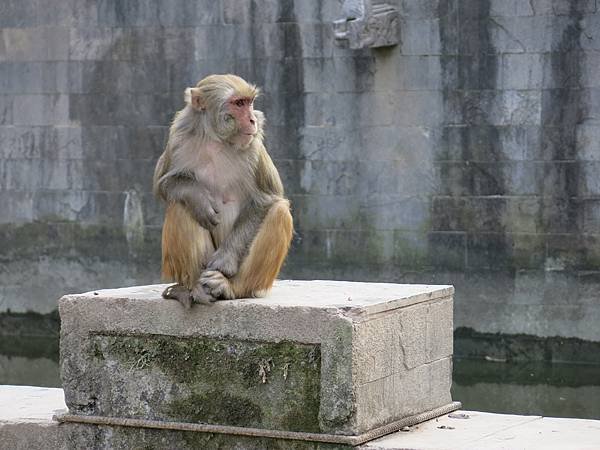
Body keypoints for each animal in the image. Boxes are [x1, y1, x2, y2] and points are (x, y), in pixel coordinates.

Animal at [154, 74, 294, 306]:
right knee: (180, 206)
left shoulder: (254, 147)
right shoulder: (178, 138)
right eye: (238, 103)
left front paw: (225, 261)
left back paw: (229, 287)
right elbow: (164, 184)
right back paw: (193, 289)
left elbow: (266, 199)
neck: (215, 139)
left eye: (249, 103)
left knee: (279, 212)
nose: (253, 120)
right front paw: (199, 199)